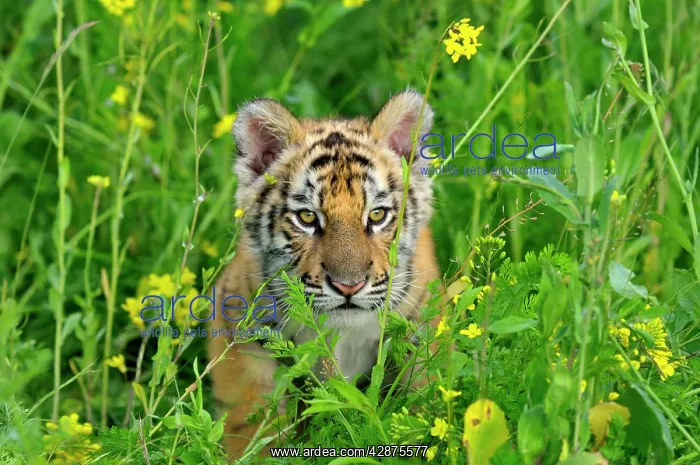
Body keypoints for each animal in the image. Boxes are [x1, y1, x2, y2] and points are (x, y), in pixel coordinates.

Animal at [208, 89, 441, 457]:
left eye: (377, 215)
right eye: (306, 217)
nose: (349, 286)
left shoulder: (421, 329)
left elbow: (425, 397)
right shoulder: (242, 332)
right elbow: (251, 417)